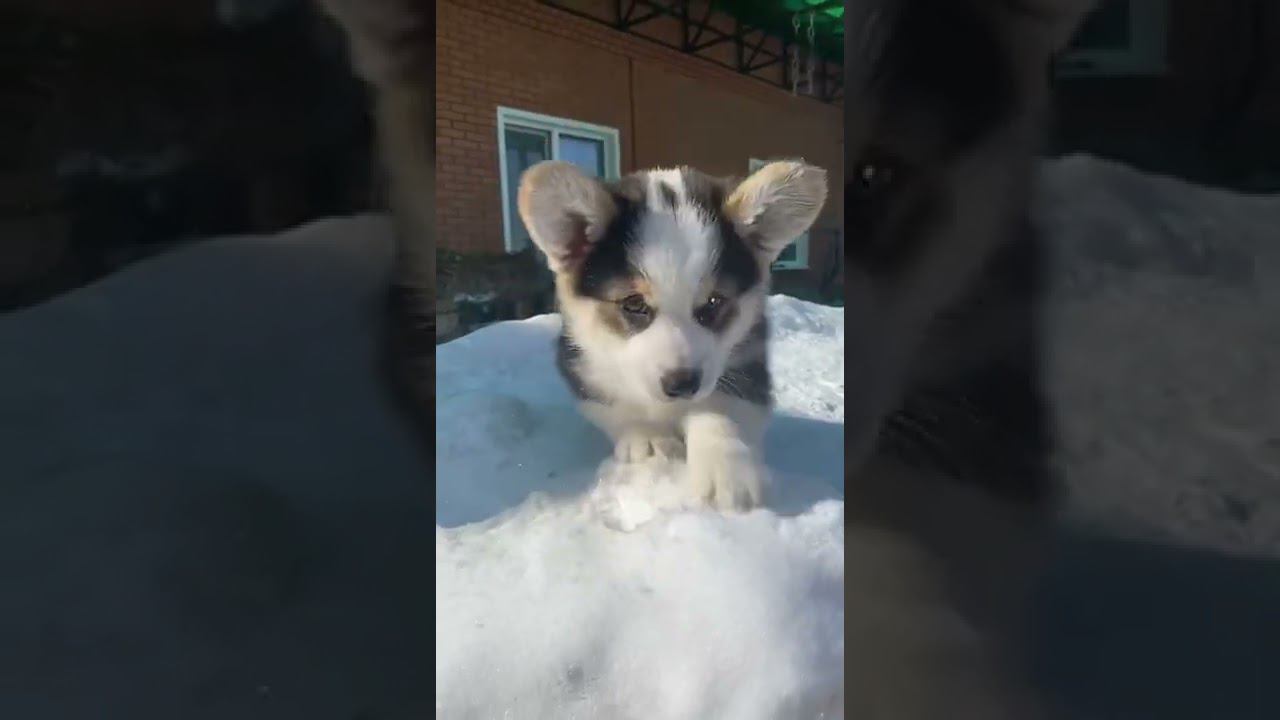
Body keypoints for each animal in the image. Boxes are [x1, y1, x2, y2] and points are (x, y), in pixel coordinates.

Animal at [517, 160, 827, 510]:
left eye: (714, 302)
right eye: (633, 303)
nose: (682, 385)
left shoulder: (746, 358)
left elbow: (719, 407)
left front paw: (725, 470)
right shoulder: (584, 366)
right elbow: (619, 409)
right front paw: (650, 441)